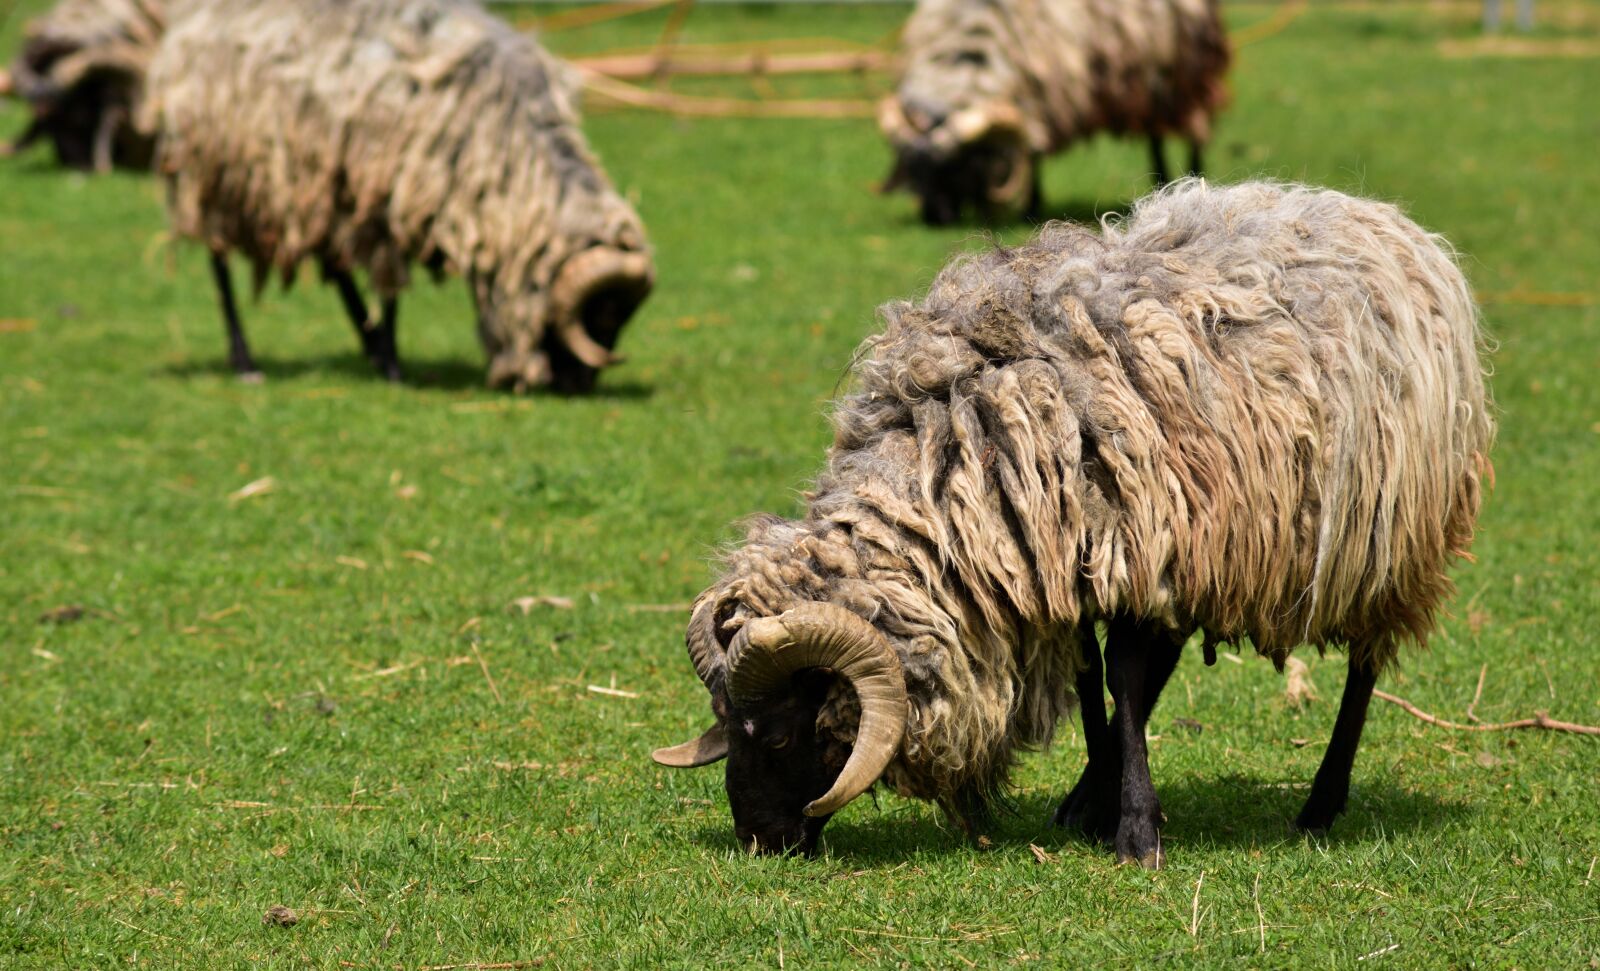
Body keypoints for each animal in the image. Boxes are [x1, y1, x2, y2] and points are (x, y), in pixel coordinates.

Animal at [141, 0, 653, 392]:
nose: (579, 385)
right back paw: (245, 360)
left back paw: (365, 345)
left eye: (622, 314)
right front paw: (392, 367)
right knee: (220, 260)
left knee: (335, 263)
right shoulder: (391, 193)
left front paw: (383, 354)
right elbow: (390, 290)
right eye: (603, 310)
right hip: (223, 169)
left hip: (319, 183)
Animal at [653, 180, 1493, 866]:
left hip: (1387, 534)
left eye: (781, 731)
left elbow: (1124, 674)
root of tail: (1382, 216)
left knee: (1364, 664)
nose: (758, 839)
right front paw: (1099, 798)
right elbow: (1098, 673)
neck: (958, 453)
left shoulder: (1128, 540)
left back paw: (1321, 802)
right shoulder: (1076, 552)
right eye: (724, 718)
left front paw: (1135, 828)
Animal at [879, 0, 1230, 225]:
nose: (934, 218)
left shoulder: (1042, 95)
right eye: (914, 171)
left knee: (1188, 133)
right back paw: (1162, 184)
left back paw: (1191, 179)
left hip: (1180, 73)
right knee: (1154, 136)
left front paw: (1031, 209)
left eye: (956, 167)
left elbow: (1032, 154)